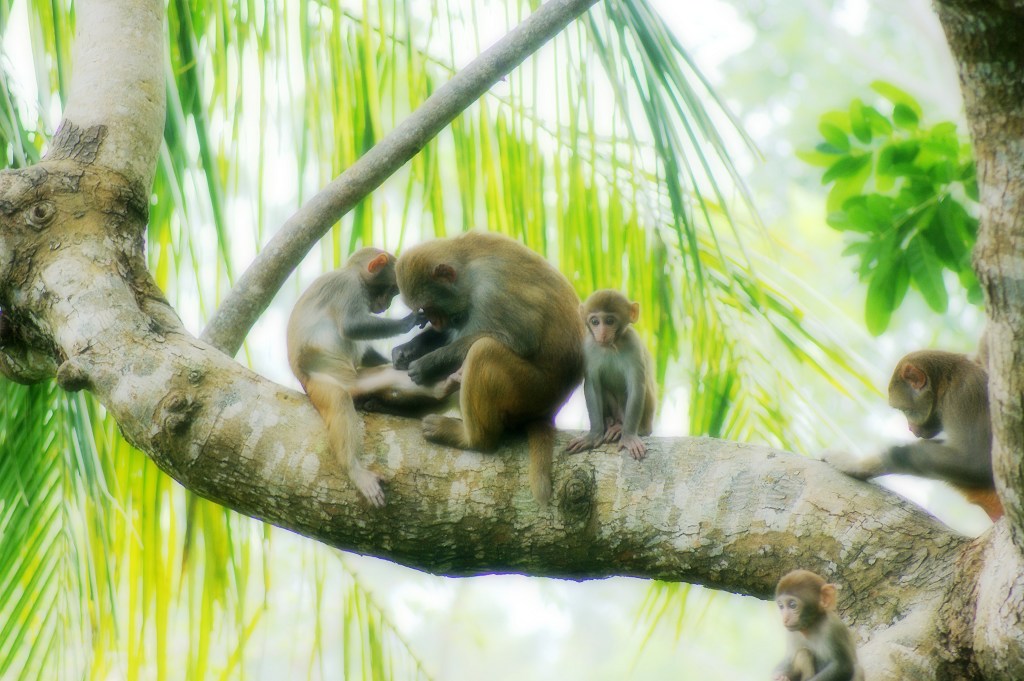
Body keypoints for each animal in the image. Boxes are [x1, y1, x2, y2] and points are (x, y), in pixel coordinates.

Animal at [391, 232, 585, 503]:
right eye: (425, 312)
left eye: (431, 309)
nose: (435, 323)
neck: (468, 269)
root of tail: (551, 409)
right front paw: (408, 349)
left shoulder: (491, 291)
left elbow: (520, 338)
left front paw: (428, 363)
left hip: (533, 391)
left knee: (484, 351)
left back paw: (474, 439)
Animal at [565, 288, 659, 458]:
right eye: (595, 322)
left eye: (609, 321)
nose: (602, 334)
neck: (611, 346)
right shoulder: (588, 347)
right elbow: (592, 386)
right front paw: (593, 435)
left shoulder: (633, 343)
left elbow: (637, 387)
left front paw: (628, 436)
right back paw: (609, 423)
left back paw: (623, 428)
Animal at [823, 350, 999, 520]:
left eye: (906, 411)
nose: (910, 428)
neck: (948, 381)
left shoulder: (964, 393)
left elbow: (975, 463)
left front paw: (863, 464)